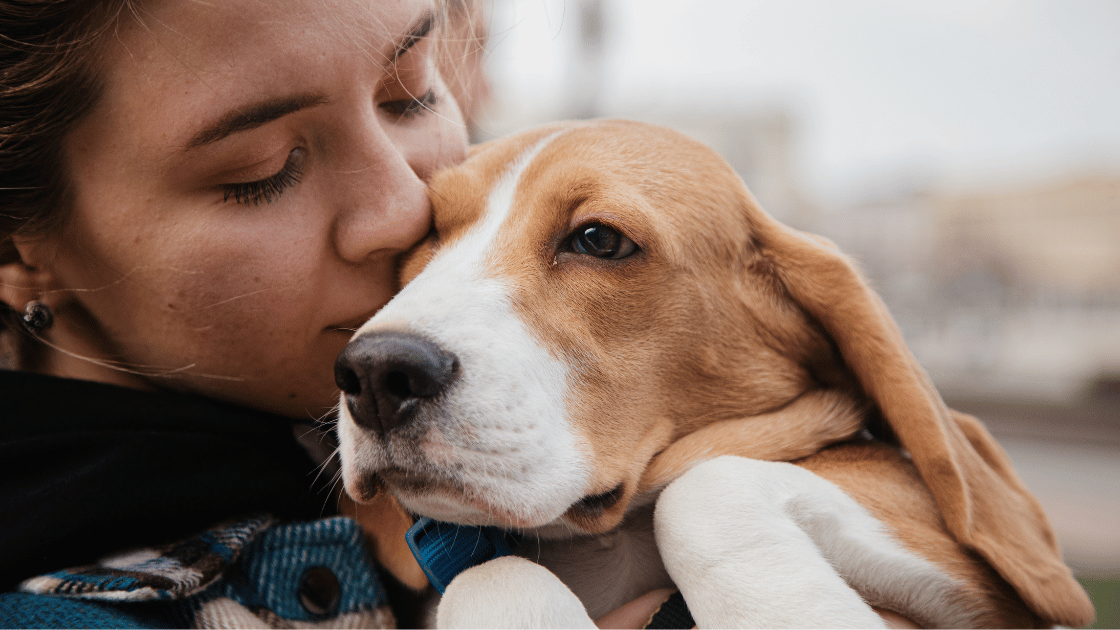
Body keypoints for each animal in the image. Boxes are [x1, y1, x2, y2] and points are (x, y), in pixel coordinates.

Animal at [333, 119, 1093, 623]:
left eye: (599, 239)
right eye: (430, 234)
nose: (376, 372)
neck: (605, 543)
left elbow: (702, 488)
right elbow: (491, 575)